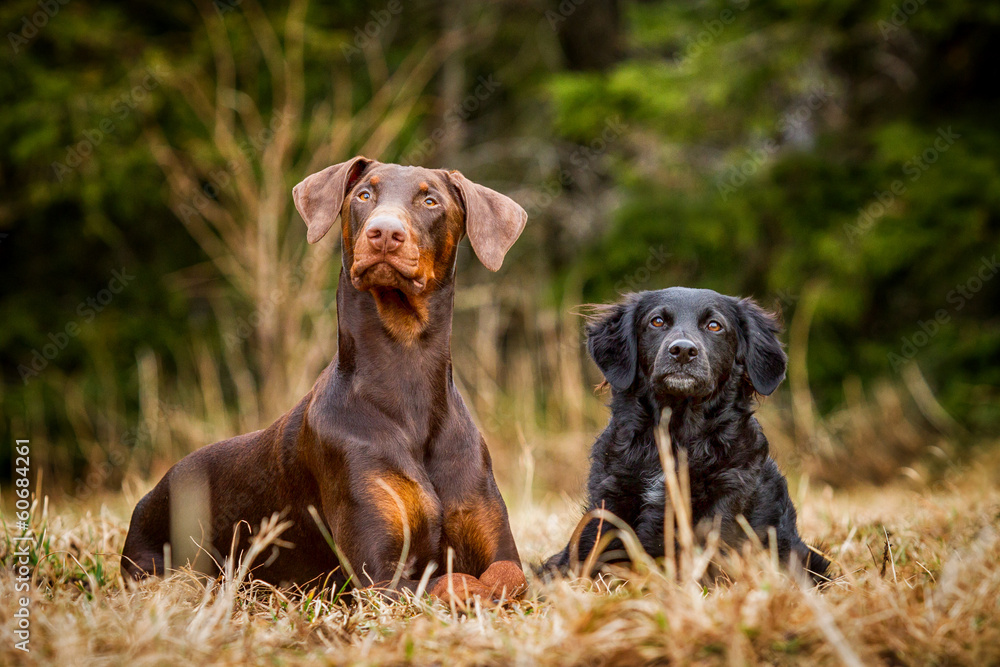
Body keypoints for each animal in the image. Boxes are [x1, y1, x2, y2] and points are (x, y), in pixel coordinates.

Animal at [121, 157, 532, 604]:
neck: (407, 373)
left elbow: (511, 575)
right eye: (364, 195)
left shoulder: (498, 546)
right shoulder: (378, 576)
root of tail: (152, 492)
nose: (384, 233)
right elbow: (454, 582)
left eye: (430, 201)